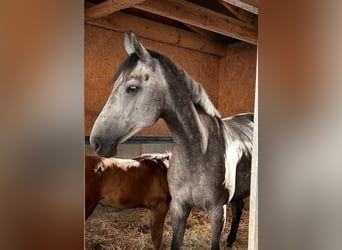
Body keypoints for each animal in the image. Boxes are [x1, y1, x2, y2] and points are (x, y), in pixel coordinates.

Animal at [89, 32, 252, 249]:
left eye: (132, 88)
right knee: (239, 205)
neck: (198, 154)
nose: (96, 141)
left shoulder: (218, 213)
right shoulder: (179, 207)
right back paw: (231, 239)